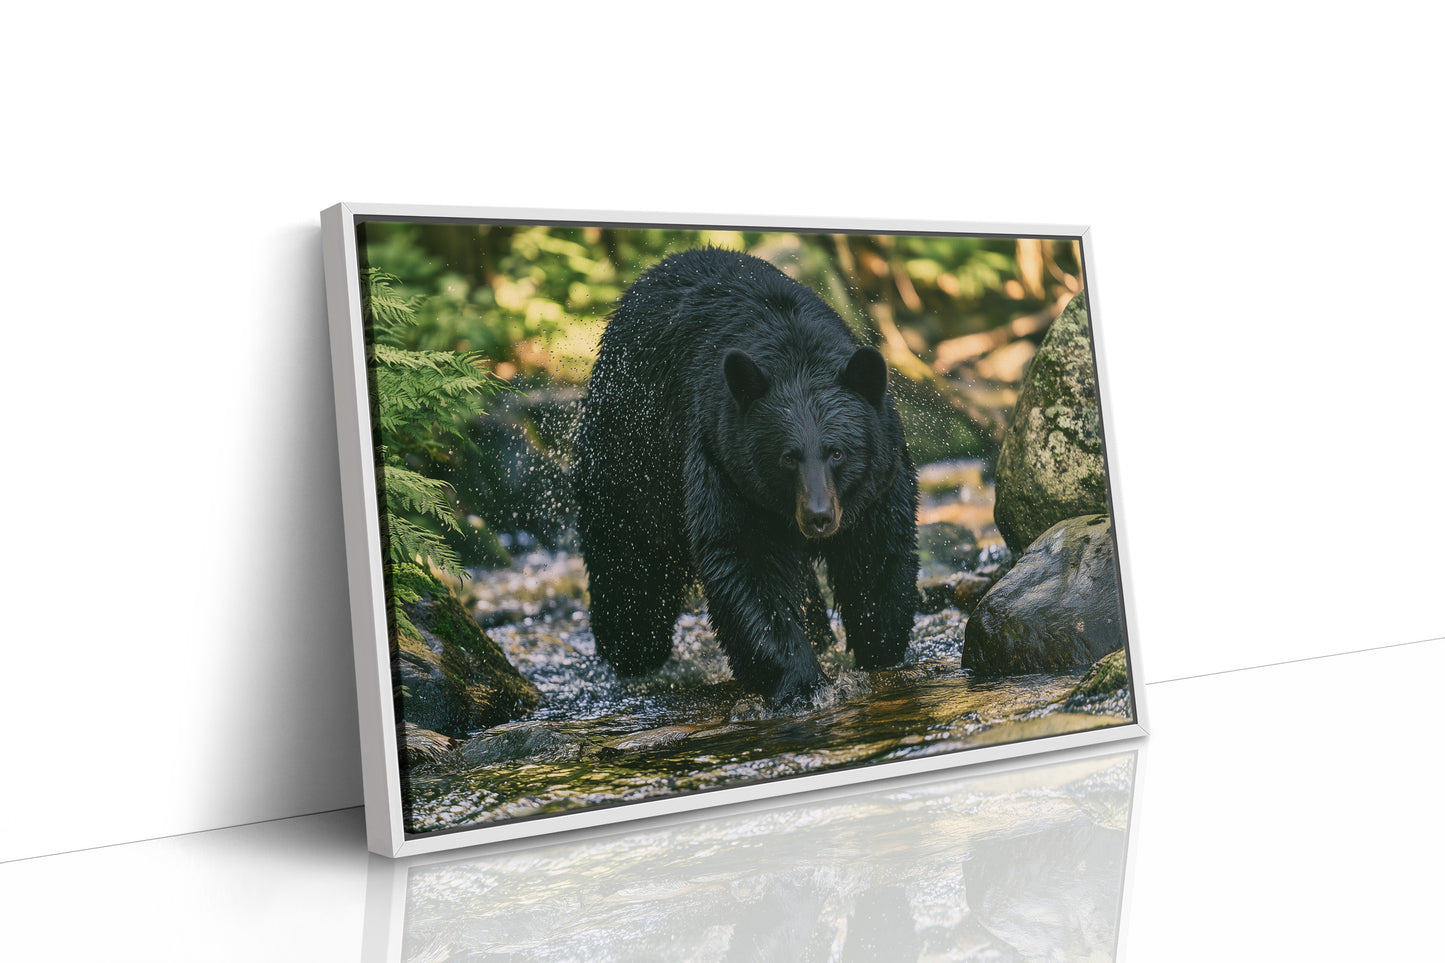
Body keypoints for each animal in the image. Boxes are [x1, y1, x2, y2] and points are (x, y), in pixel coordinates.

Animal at [573, 248, 919, 703]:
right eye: (788, 457)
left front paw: (880, 647)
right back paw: (633, 653)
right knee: (628, 553)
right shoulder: (724, 461)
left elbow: (877, 551)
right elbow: (745, 558)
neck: (795, 351)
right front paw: (801, 681)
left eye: (837, 452)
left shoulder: (879, 476)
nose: (819, 517)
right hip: (630, 446)